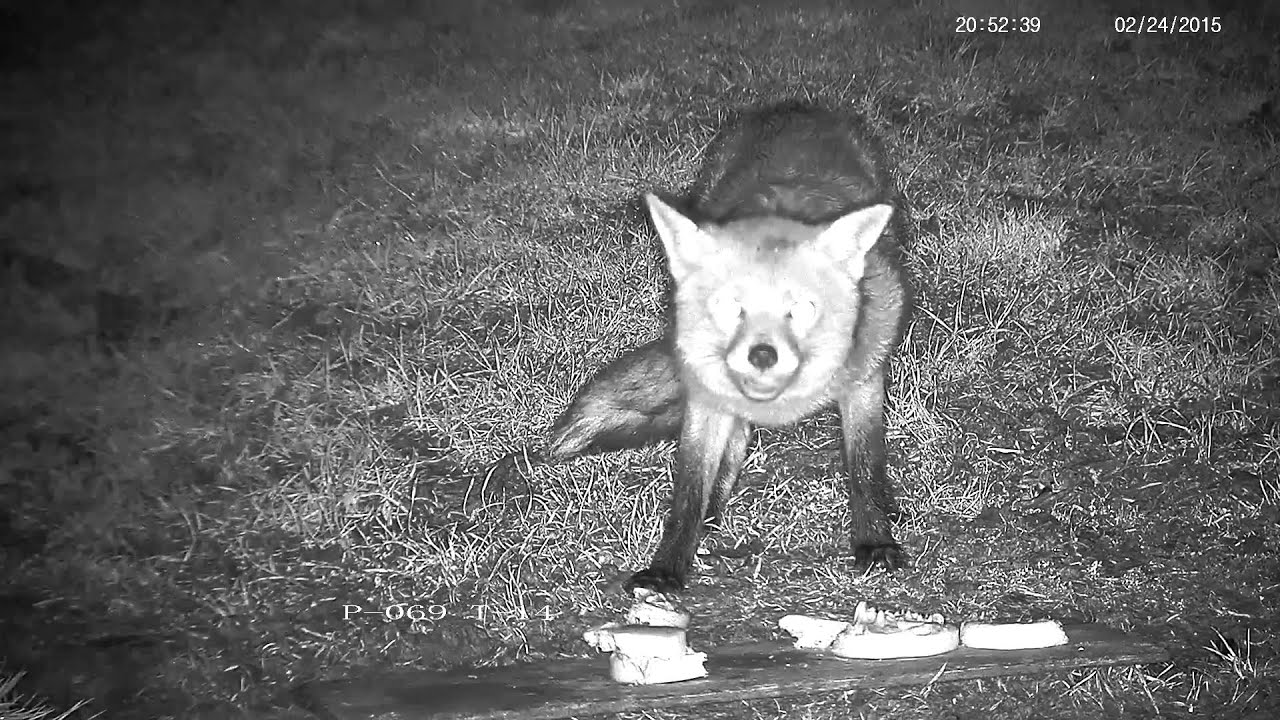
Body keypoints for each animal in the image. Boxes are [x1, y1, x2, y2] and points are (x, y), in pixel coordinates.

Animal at [546, 103, 912, 594]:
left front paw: (874, 538)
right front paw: (669, 566)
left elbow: (865, 464)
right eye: (728, 306)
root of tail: (795, 106)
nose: (762, 356)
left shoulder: (863, 380)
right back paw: (714, 514)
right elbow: (689, 488)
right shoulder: (706, 395)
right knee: (735, 441)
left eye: (802, 308)